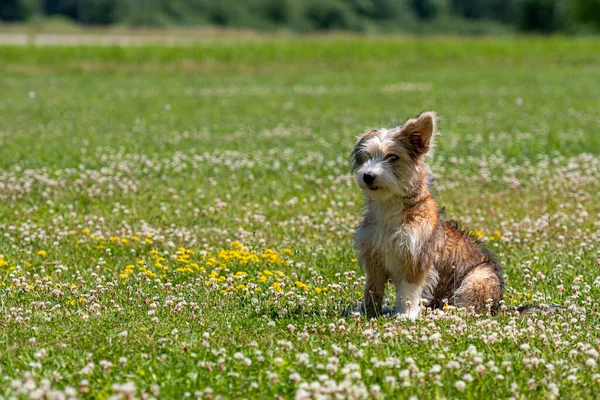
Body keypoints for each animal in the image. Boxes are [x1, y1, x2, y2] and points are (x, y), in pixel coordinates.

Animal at [350, 111, 504, 320]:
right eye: (367, 157)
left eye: (392, 157)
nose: (367, 176)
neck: (390, 206)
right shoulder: (373, 256)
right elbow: (372, 289)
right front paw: (367, 312)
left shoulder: (416, 258)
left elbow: (408, 291)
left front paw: (406, 314)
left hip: (478, 279)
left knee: (468, 310)